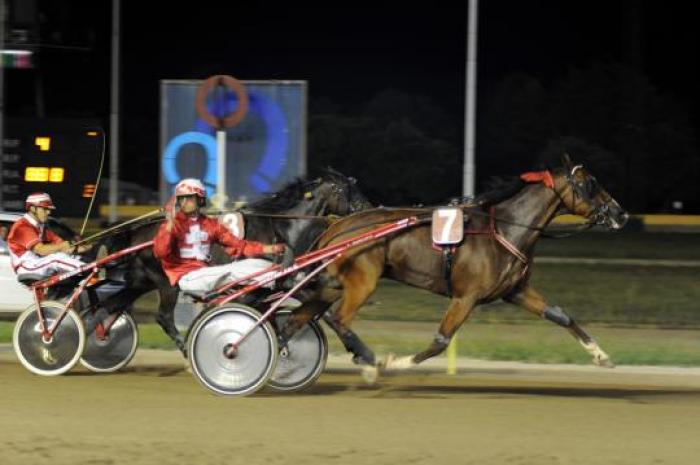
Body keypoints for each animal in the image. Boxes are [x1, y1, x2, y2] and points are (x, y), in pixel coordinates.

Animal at [98, 169, 372, 354]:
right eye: (347, 190)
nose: (370, 208)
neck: (282, 228)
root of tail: (137, 232)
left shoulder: (283, 281)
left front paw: (362, 352)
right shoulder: (271, 282)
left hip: (141, 281)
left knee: (111, 305)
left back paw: (100, 332)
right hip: (167, 283)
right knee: (163, 317)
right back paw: (186, 348)